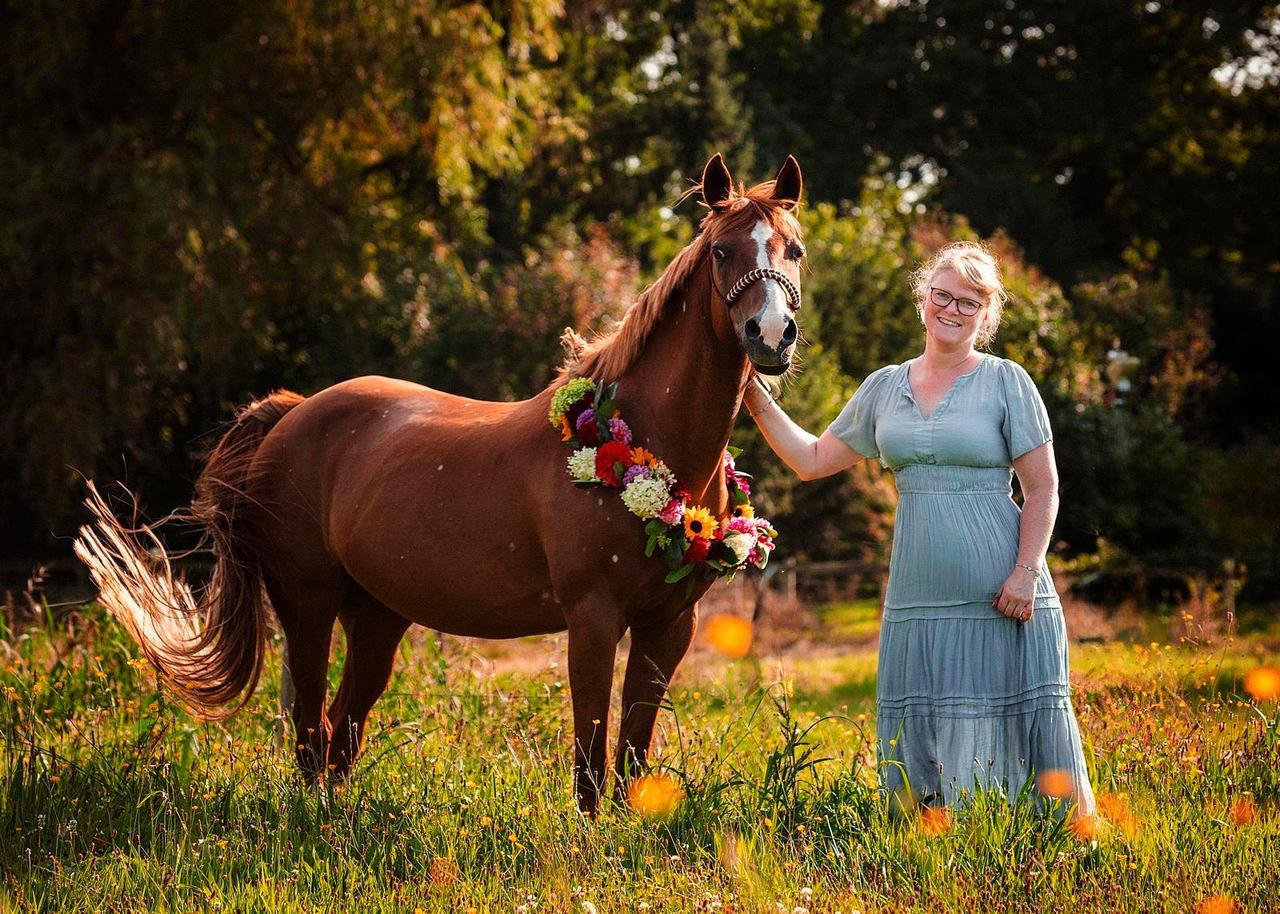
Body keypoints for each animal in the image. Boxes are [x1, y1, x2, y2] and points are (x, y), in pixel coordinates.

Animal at [74, 152, 807, 813]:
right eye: (721, 252)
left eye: (794, 249)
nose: (771, 334)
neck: (640, 439)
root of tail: (292, 412)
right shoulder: (593, 618)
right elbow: (591, 756)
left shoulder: (669, 624)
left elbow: (632, 747)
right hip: (307, 605)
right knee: (311, 732)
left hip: (376, 617)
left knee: (340, 730)